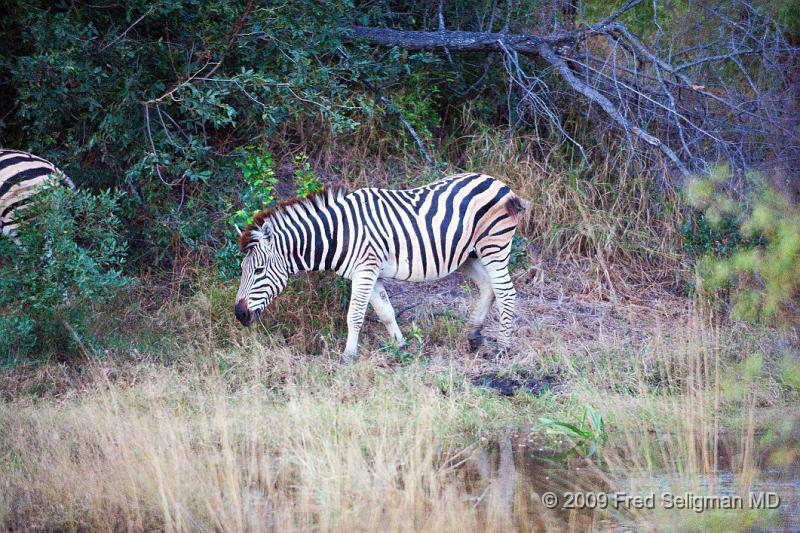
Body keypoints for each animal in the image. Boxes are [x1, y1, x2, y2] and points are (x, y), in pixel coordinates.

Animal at [234, 172, 528, 360]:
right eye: (242, 271)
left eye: (258, 271)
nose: (239, 314)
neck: (338, 233)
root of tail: (501, 184)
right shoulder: (370, 273)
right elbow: (386, 311)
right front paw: (400, 345)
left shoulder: (365, 269)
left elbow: (355, 315)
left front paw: (348, 356)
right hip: (470, 255)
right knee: (488, 288)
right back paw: (474, 337)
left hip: (494, 247)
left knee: (506, 293)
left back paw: (502, 348)